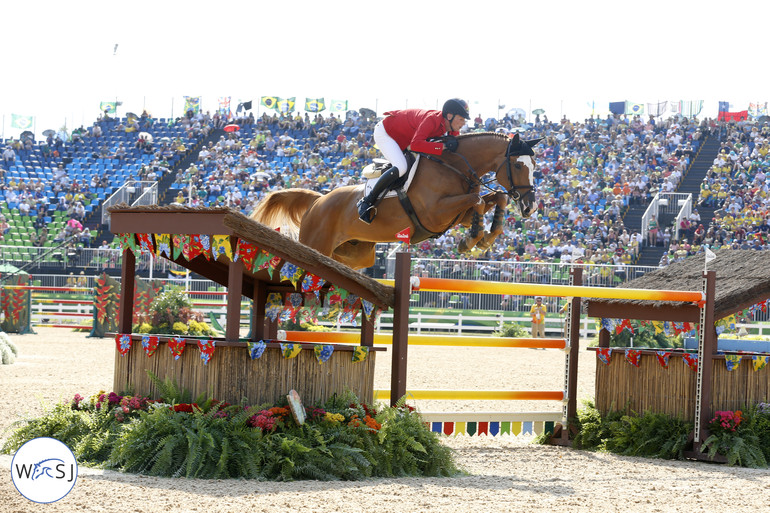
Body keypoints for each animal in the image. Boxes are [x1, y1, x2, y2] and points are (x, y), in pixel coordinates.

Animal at [249, 131, 536, 268]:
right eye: (518, 165)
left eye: (535, 166)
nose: (530, 207)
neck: (453, 164)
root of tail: (318, 201)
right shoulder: (435, 213)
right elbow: (477, 199)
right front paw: (473, 240)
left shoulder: (458, 215)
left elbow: (493, 198)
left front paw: (484, 238)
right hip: (315, 243)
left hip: (355, 254)